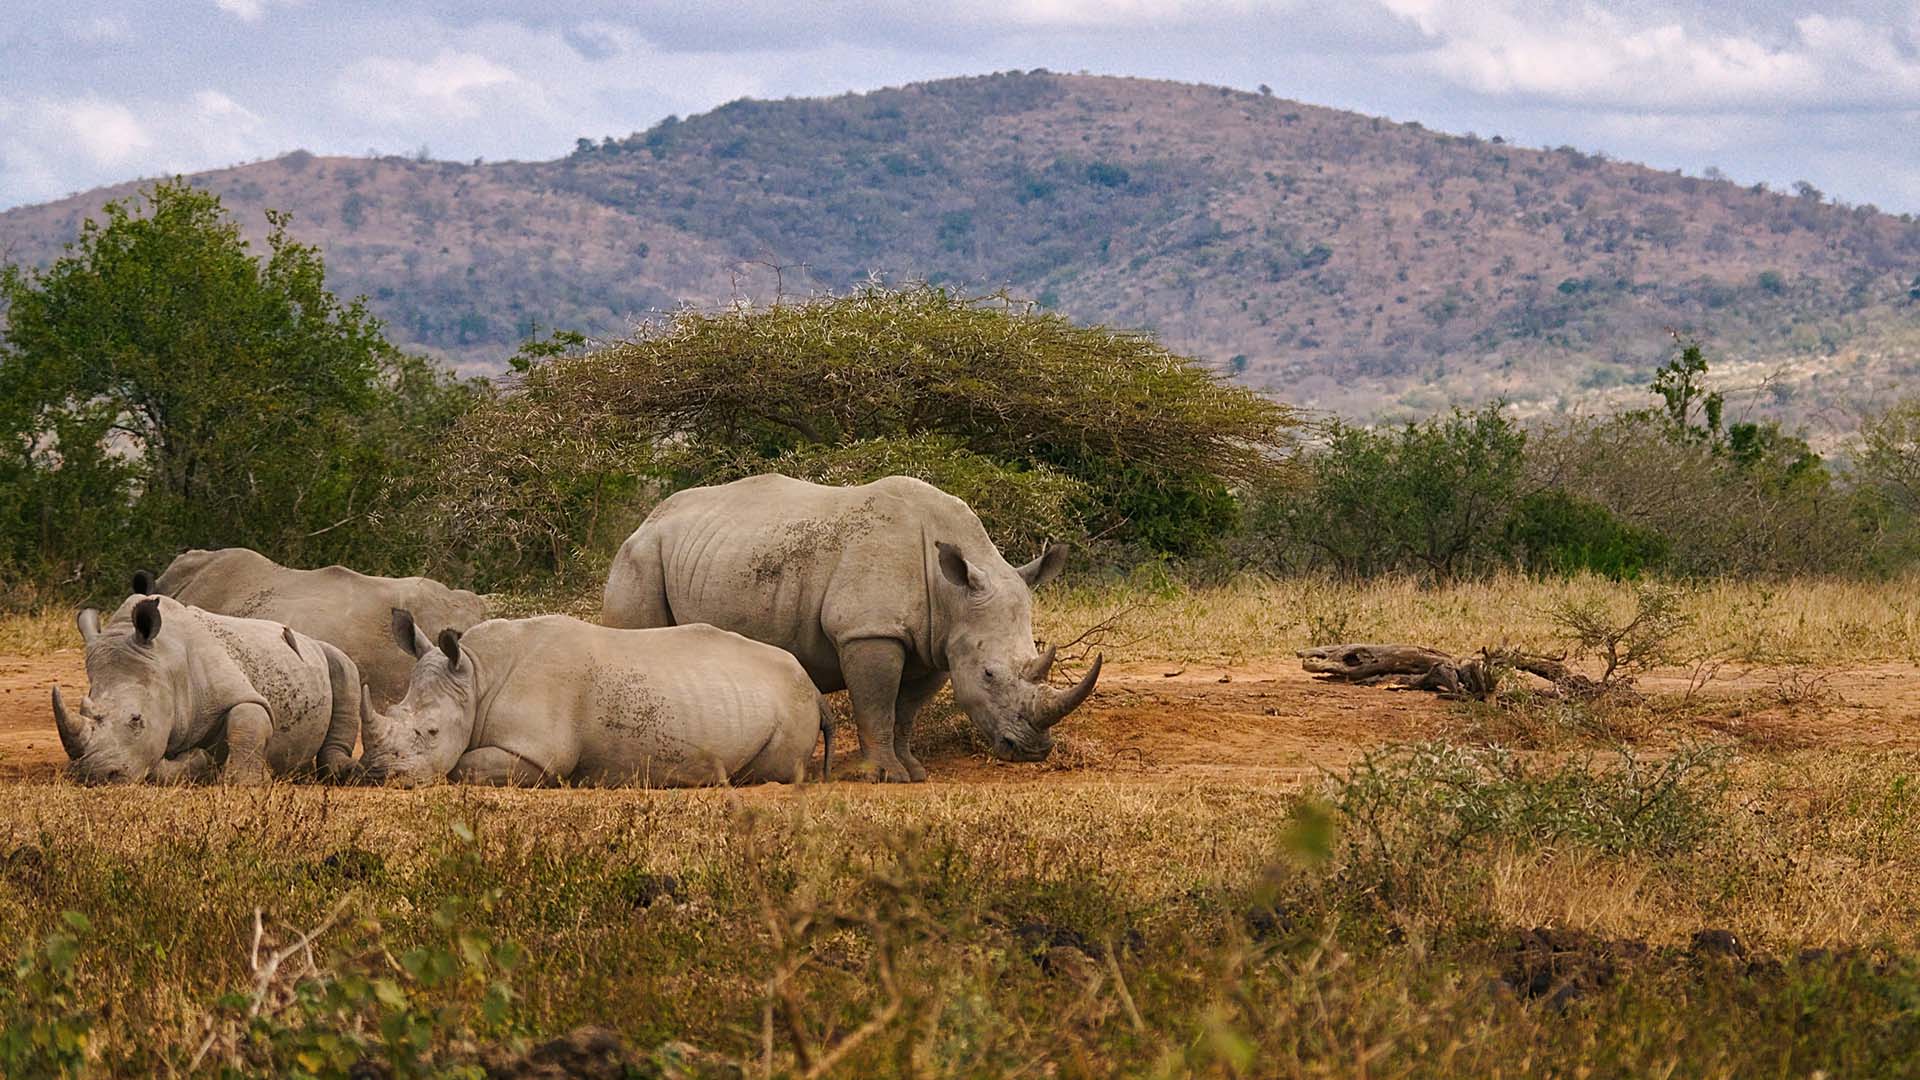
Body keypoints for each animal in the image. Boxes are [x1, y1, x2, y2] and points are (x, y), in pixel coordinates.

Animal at [54, 595, 361, 785]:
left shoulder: (238, 691)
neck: (167, 663)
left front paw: (245, 781)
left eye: (136, 720)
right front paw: (199, 761)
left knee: (345, 668)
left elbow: (247, 720)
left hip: (326, 651)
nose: (97, 774)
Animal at [359, 611, 832, 788]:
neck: (476, 675)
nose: (376, 774)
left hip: (792, 703)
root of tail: (811, 685)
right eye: (394, 710)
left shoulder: (537, 752)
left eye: (431, 731)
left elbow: (462, 766)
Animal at [601, 474, 1101, 782]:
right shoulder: (868, 629)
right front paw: (884, 776)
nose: (1032, 750)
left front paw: (913, 771)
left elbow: (905, 712)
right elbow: (875, 704)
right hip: (639, 557)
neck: (951, 593)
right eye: (989, 675)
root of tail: (646, 520)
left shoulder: (937, 644)